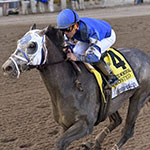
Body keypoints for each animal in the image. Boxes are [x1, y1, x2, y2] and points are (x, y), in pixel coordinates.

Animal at [2, 24, 150, 150]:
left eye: (32, 45)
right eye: (18, 42)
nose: (7, 67)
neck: (69, 85)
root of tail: (146, 57)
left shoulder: (85, 125)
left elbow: (59, 142)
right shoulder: (65, 125)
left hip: (139, 98)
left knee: (127, 130)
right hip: (111, 103)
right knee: (117, 121)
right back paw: (94, 143)